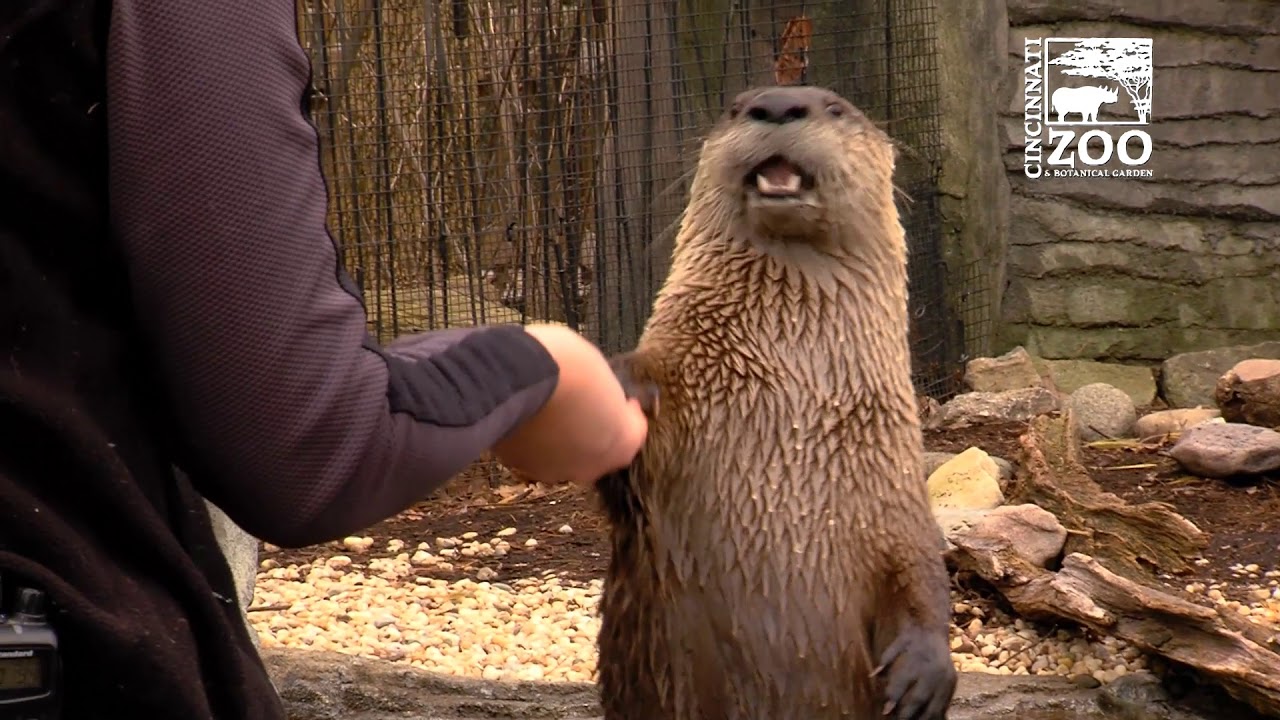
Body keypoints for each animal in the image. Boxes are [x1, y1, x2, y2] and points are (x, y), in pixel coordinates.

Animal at [595, 85, 957, 720]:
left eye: (835, 108)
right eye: (738, 107)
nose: (781, 103)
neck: (791, 402)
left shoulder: (894, 485)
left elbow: (922, 569)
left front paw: (925, 673)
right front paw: (619, 388)